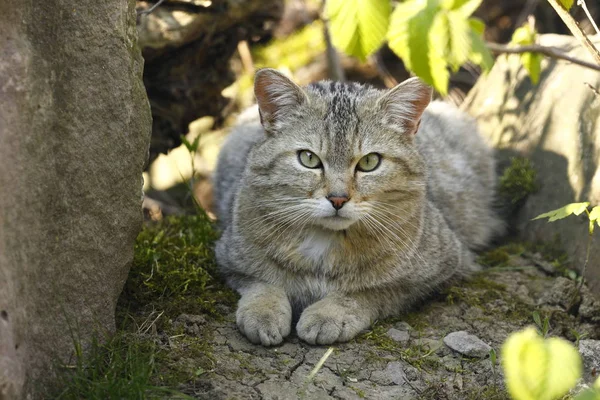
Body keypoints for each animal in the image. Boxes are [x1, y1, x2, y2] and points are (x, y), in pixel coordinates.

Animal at [213, 67, 504, 346]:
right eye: (308, 158)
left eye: (369, 162)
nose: (338, 198)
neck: (325, 243)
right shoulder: (229, 257)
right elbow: (263, 284)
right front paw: (264, 311)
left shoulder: (442, 270)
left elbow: (367, 292)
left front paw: (330, 313)